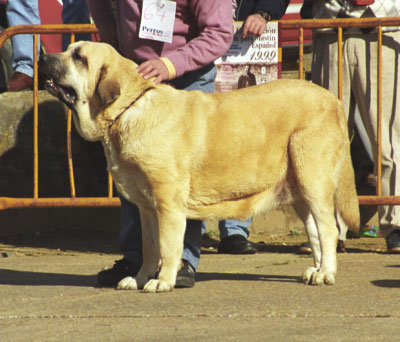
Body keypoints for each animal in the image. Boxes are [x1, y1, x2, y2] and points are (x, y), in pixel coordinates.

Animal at [39, 41, 360, 292]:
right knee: (315, 232)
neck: (128, 110)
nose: (42, 56)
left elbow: (168, 246)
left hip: (313, 180)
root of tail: (332, 99)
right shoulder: (146, 208)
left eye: (79, 57)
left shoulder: (168, 203)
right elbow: (149, 248)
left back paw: (327, 274)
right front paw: (139, 278)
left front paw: (163, 281)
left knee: (329, 229)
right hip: (300, 192)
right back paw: (317, 270)